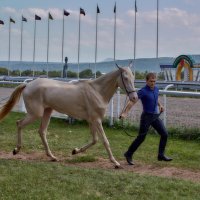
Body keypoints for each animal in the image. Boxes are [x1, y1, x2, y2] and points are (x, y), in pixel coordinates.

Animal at [0, 65, 138, 167]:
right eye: (125, 78)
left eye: (133, 77)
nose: (134, 98)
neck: (97, 91)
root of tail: (28, 85)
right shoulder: (96, 120)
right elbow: (105, 141)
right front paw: (115, 162)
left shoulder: (91, 121)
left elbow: (94, 140)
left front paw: (75, 151)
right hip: (35, 114)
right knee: (19, 123)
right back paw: (16, 150)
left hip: (47, 111)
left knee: (42, 131)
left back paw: (52, 157)